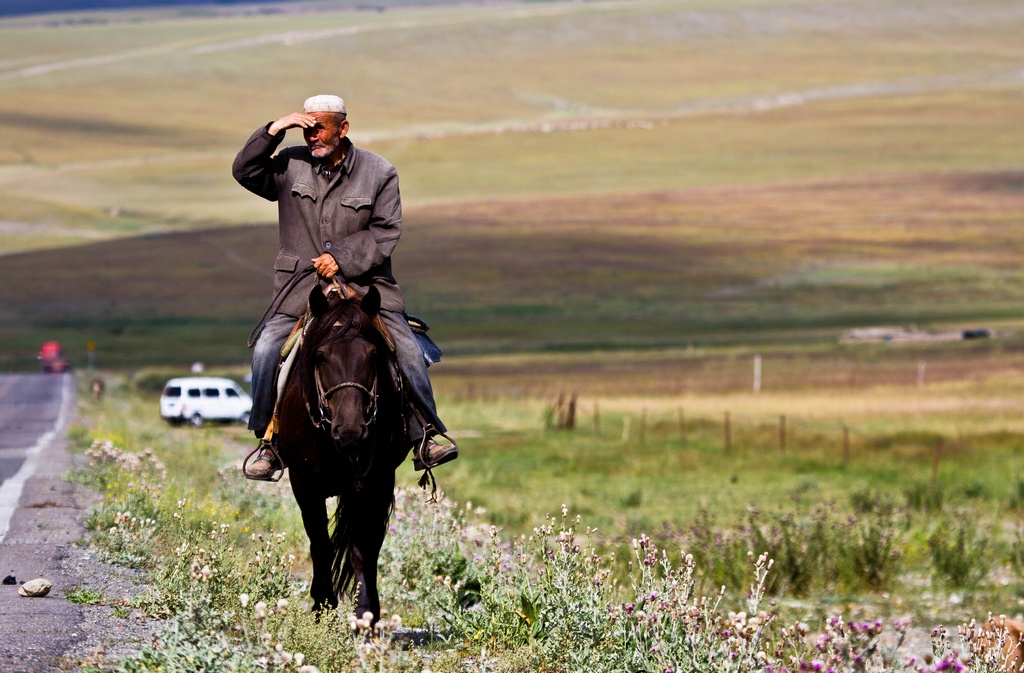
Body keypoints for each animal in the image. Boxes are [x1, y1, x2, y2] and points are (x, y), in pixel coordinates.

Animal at [280, 282, 411, 618]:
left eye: (373, 355)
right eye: (320, 356)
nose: (351, 431)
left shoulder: (376, 481)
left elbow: (363, 549)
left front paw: (366, 615)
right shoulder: (303, 483)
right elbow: (320, 543)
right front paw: (322, 604)